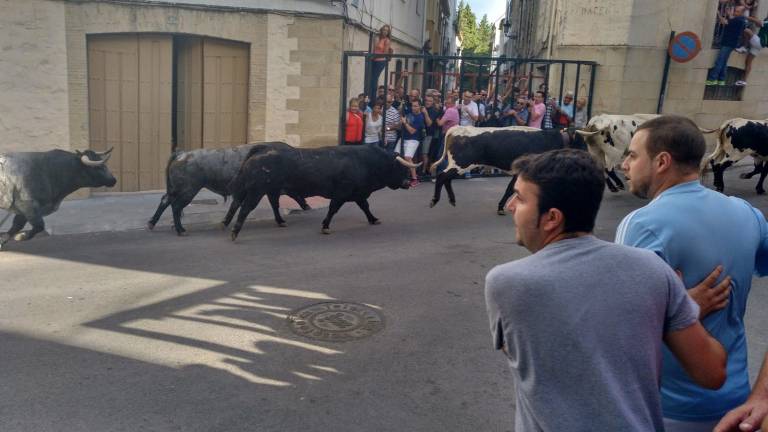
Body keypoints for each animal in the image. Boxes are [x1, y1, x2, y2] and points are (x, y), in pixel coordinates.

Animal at [226, 144, 420, 240]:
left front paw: (373, 219)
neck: (366, 161)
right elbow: (333, 209)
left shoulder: (357, 194)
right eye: (400, 168)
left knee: (241, 203)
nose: (409, 182)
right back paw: (234, 232)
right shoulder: (342, 193)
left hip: (256, 188)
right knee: (245, 208)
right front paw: (325, 226)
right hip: (256, 190)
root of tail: (262, 149)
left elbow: (365, 207)